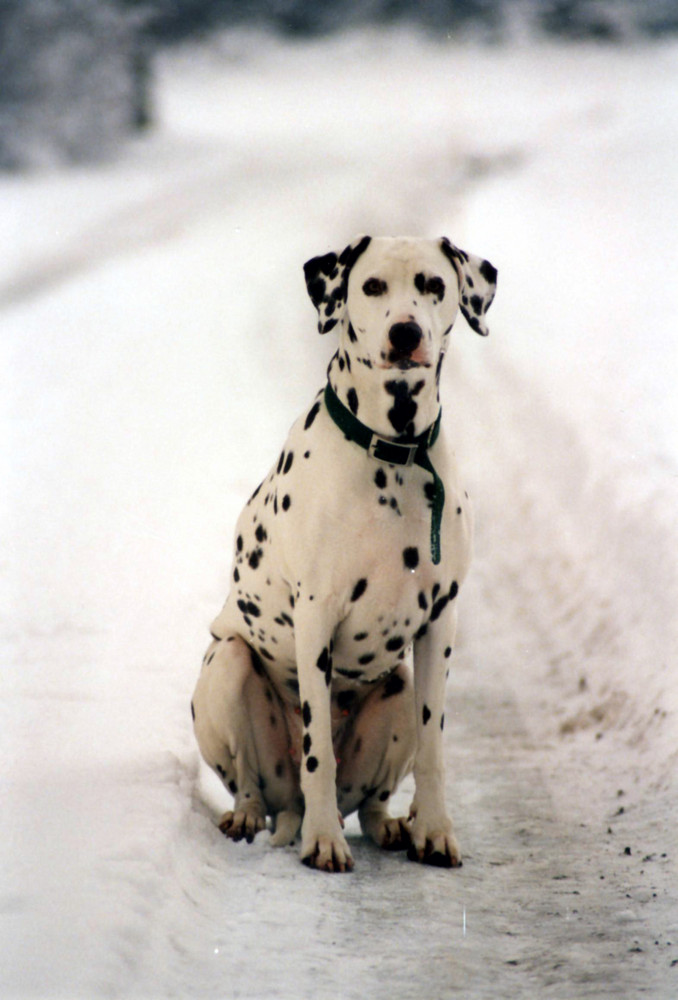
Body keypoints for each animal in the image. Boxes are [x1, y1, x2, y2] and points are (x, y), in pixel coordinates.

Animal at [193, 232, 500, 868]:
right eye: (372, 285)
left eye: (434, 285)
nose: (405, 333)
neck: (395, 452)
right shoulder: (315, 618)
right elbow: (319, 755)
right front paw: (324, 842)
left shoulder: (440, 622)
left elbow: (434, 748)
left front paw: (435, 828)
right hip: (227, 665)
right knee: (254, 782)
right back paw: (257, 815)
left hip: (398, 687)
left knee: (375, 800)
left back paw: (393, 826)